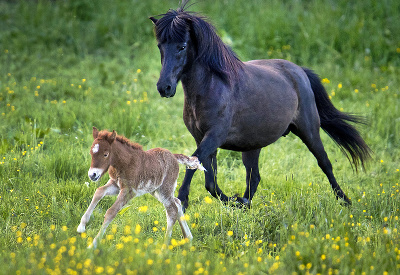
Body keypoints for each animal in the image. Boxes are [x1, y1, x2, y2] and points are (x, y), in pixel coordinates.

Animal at [77, 128, 205, 249]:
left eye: (105, 154)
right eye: (91, 153)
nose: (92, 175)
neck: (125, 163)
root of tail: (173, 156)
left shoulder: (129, 191)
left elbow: (111, 212)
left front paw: (93, 245)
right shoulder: (115, 185)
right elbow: (99, 192)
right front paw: (81, 227)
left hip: (164, 189)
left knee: (172, 210)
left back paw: (164, 248)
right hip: (155, 191)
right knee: (177, 203)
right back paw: (188, 238)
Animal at [150, 4, 372, 211]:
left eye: (182, 46)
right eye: (160, 46)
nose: (164, 87)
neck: (213, 86)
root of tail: (299, 71)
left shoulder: (214, 136)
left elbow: (194, 167)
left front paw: (183, 201)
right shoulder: (202, 139)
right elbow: (210, 182)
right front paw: (233, 200)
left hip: (309, 131)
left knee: (325, 163)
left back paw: (344, 201)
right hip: (252, 146)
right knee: (254, 177)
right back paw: (245, 203)